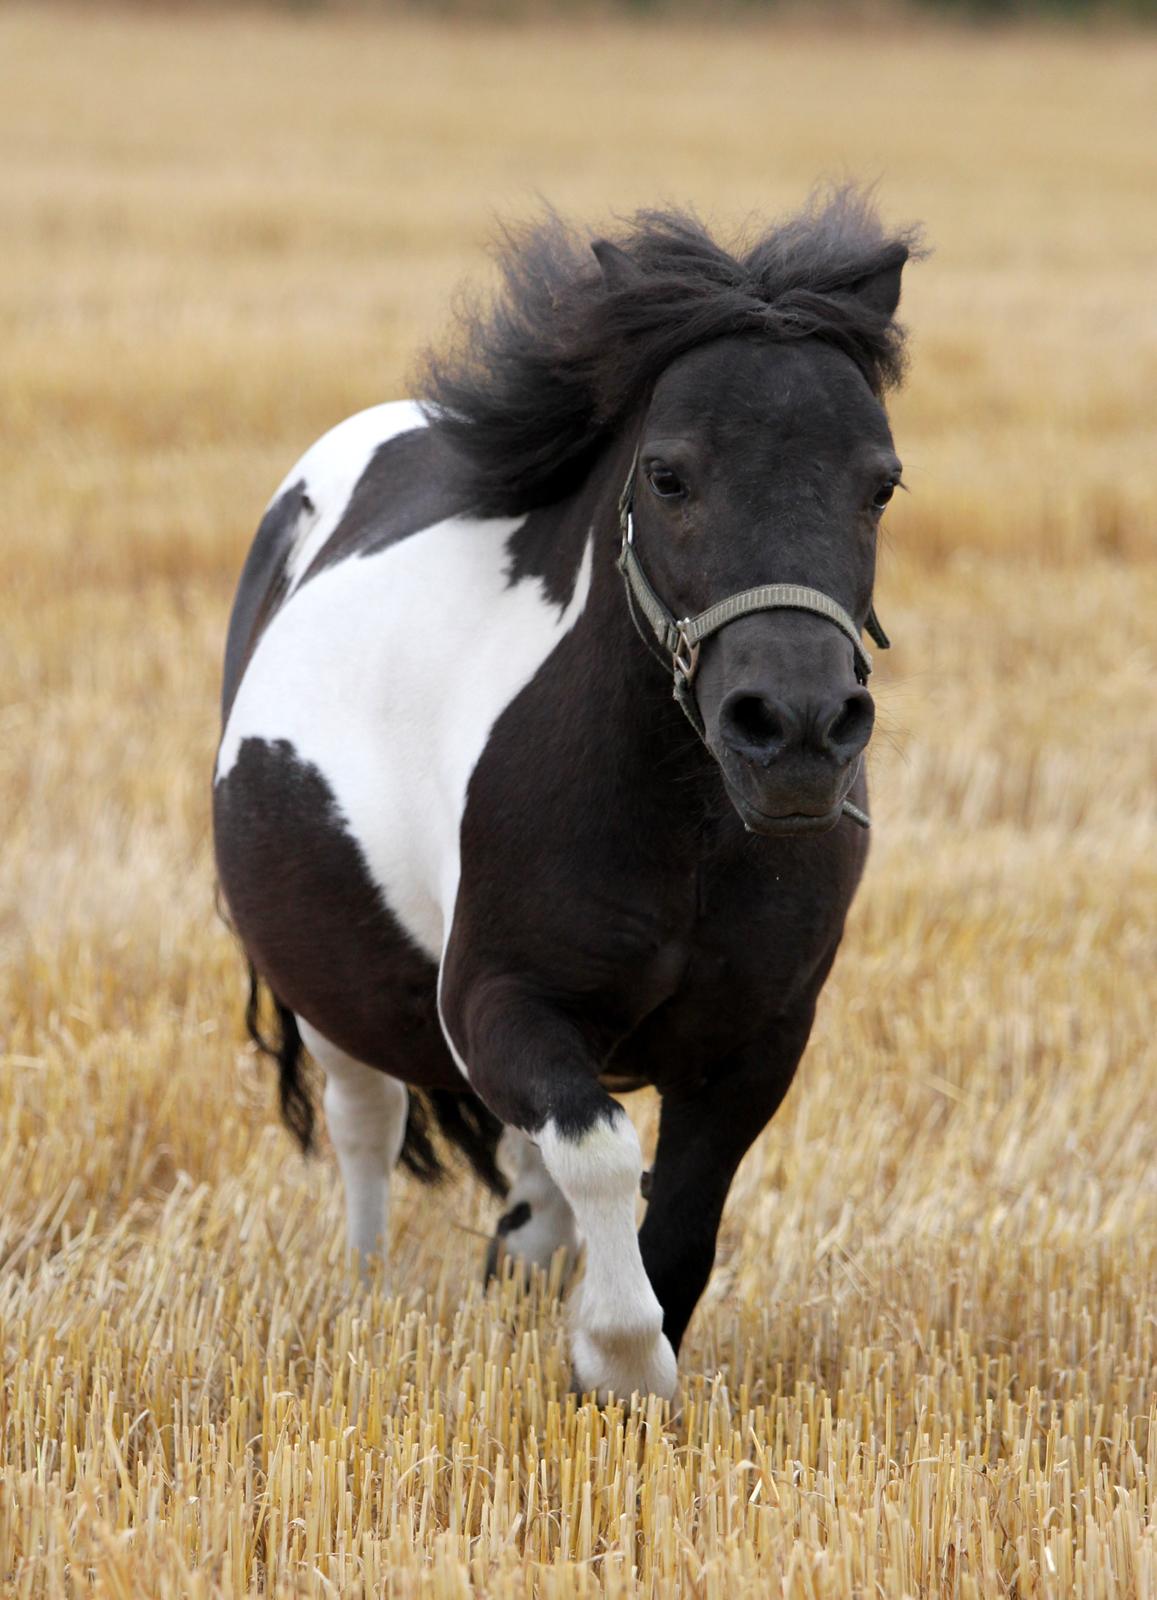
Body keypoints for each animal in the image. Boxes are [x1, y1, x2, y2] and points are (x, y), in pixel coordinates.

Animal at [212, 190, 921, 1401]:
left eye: (879, 482)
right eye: (668, 474)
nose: (793, 734)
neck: (681, 830)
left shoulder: (756, 1040)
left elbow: (678, 1216)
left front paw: (608, 1350)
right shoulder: (493, 1001)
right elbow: (597, 1150)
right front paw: (618, 1358)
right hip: (327, 991)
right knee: (368, 1126)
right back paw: (364, 1292)